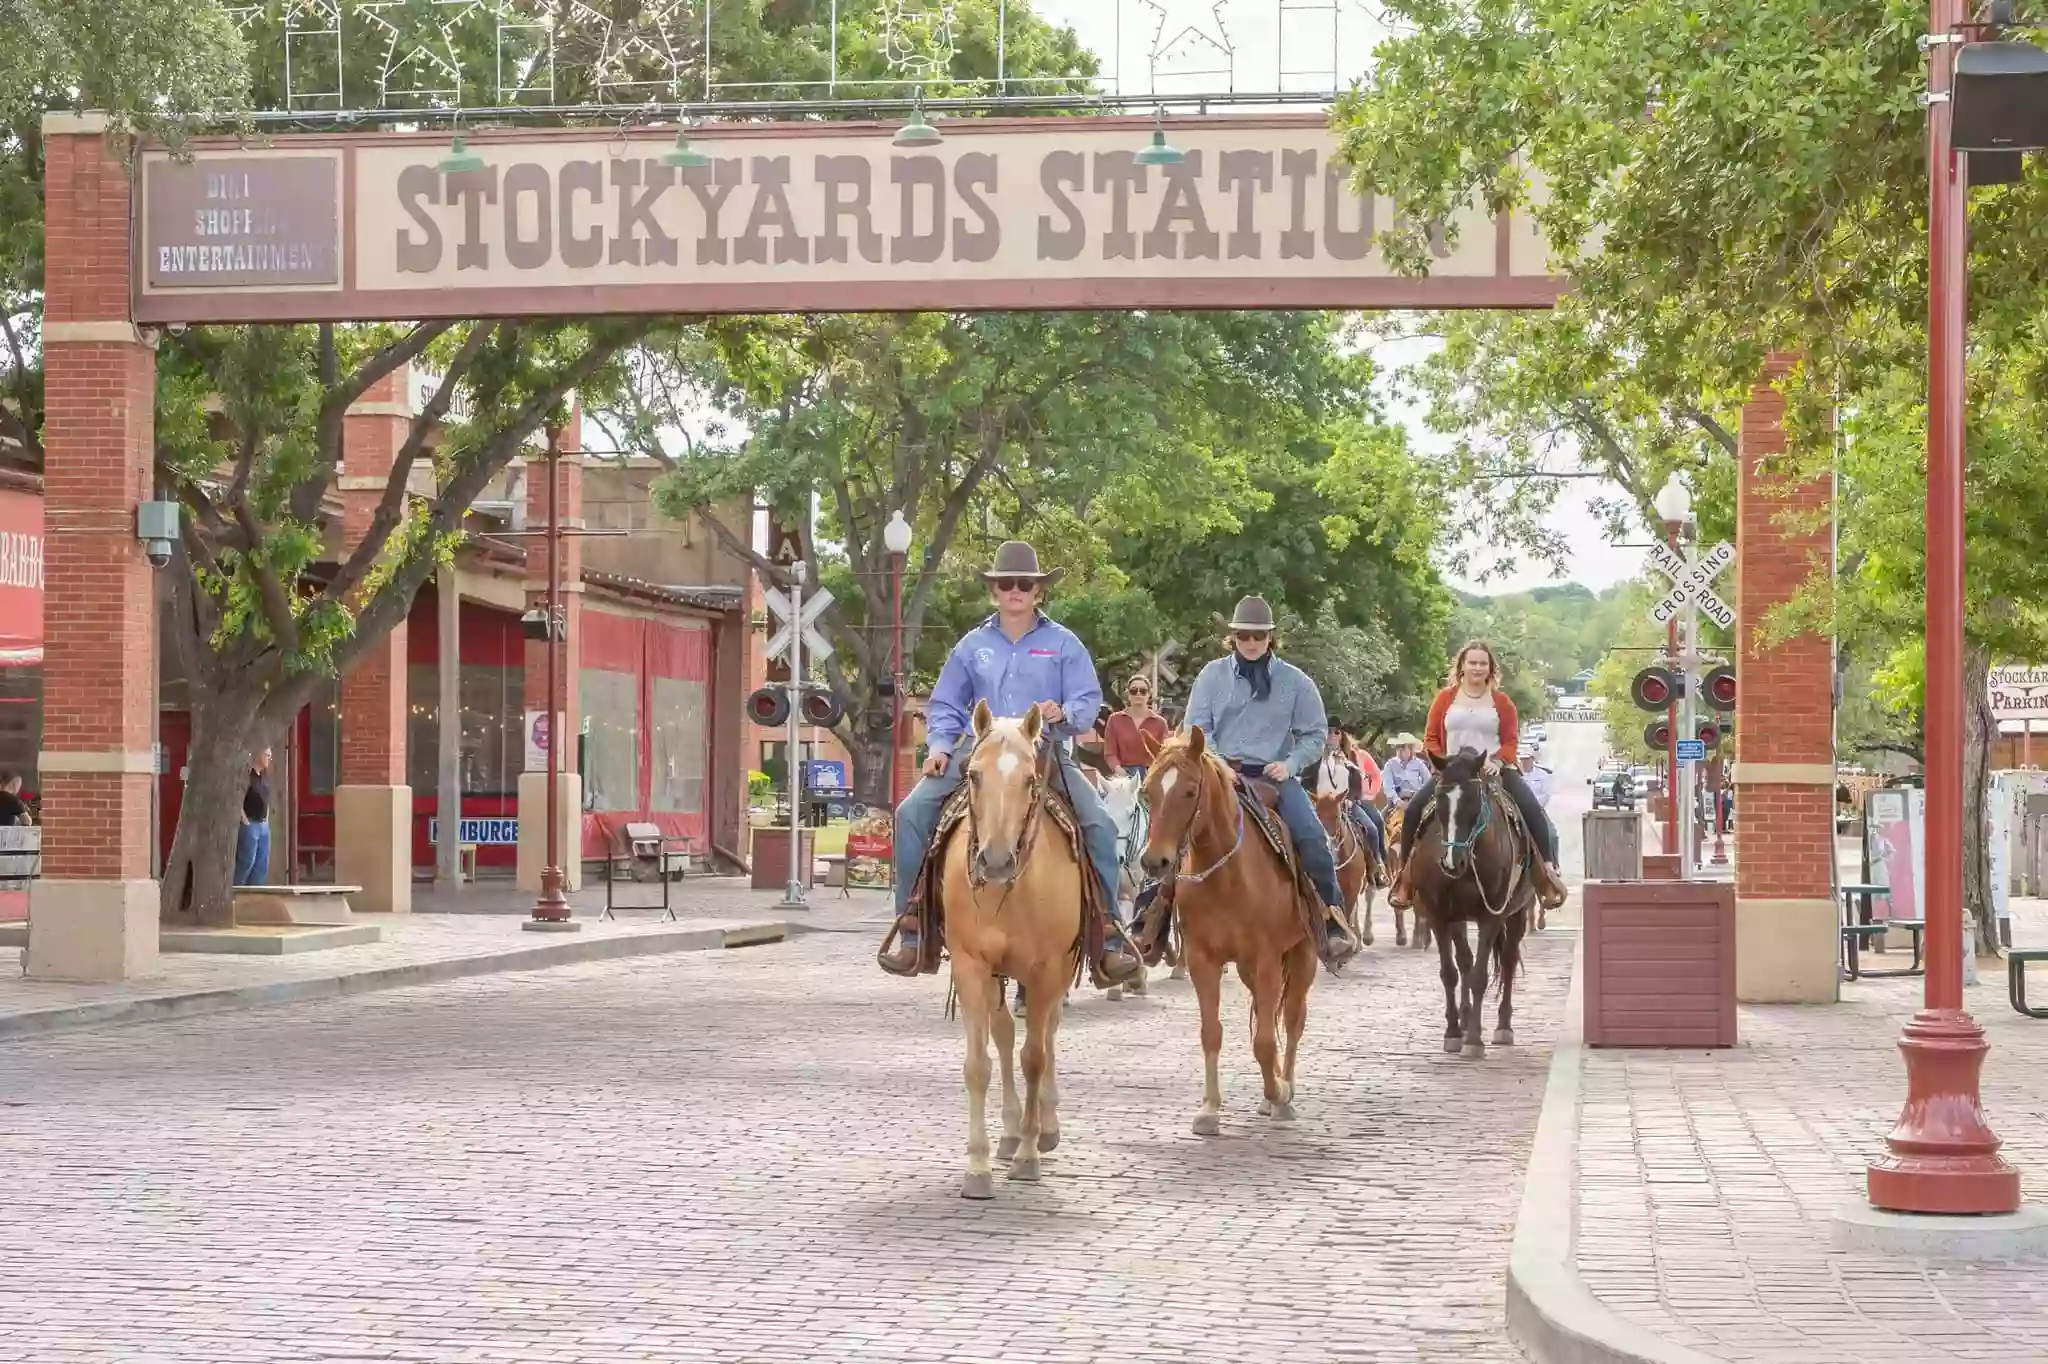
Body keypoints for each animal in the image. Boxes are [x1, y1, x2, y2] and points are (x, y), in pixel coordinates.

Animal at [937, 700, 1081, 1187]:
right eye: (973, 774)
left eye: (1030, 779)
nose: (996, 862)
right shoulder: (971, 965)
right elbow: (978, 1063)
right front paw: (978, 1165)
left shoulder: (1047, 969)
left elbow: (1034, 1056)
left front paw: (1029, 1155)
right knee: (1002, 1036)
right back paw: (1010, 1132)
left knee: (1048, 1033)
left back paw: (1044, 1128)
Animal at [1138, 729, 1310, 1130]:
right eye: (1147, 792)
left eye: (1189, 791)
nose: (1155, 861)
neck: (1228, 878)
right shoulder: (1203, 960)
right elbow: (1212, 1033)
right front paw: (1209, 1109)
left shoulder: (1266, 959)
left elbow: (1265, 1040)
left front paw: (1278, 1093)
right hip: (1248, 967)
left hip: (1302, 955)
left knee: (1293, 1019)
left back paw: (1285, 1091)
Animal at [1310, 790, 1376, 950]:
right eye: (1317, 815)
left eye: (1336, 816)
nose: (1328, 844)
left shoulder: (1352, 885)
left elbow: (1347, 912)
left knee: (1369, 896)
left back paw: (1365, 936)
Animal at [1409, 745, 1540, 1048]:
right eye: (1439, 799)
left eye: (1473, 801)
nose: (1451, 861)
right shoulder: (1439, 913)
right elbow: (1451, 972)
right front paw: (1454, 1032)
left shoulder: (1491, 915)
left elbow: (1480, 975)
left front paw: (1474, 1041)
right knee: (1465, 961)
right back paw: (1467, 1019)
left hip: (1517, 911)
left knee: (1508, 959)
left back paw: (1503, 1027)